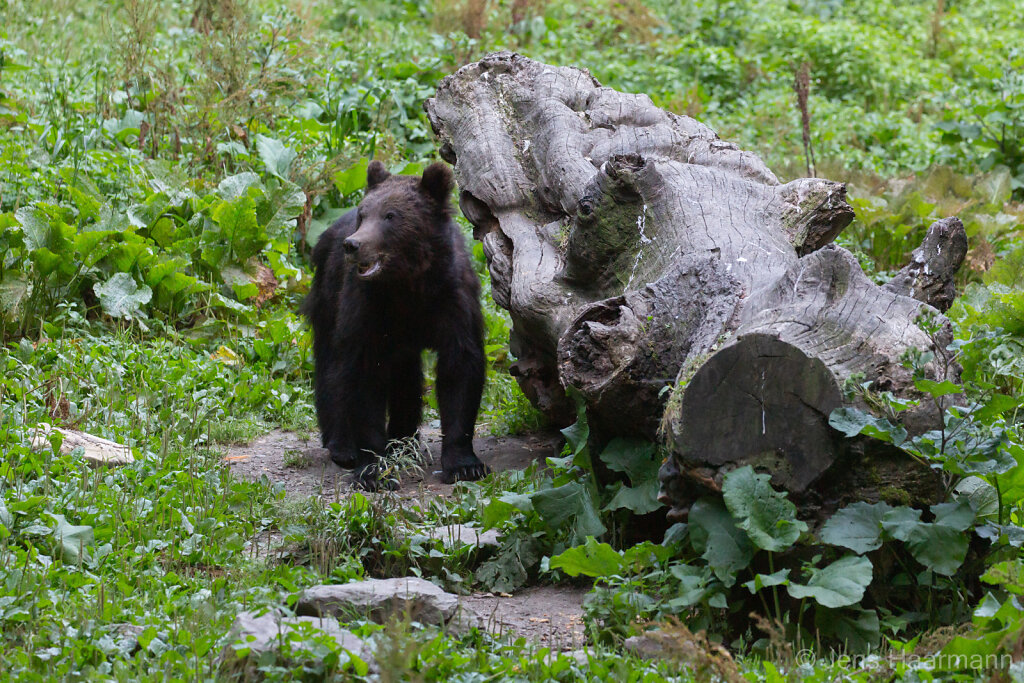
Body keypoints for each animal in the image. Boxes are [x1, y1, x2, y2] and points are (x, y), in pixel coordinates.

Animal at [301, 160, 489, 491]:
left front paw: (464, 465)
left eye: (391, 216)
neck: (406, 284)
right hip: (328, 296)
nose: (353, 245)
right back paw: (342, 445)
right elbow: (363, 378)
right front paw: (373, 470)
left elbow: (460, 369)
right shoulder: (368, 308)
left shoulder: (452, 301)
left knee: (406, 377)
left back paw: (404, 441)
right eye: (364, 213)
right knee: (331, 365)